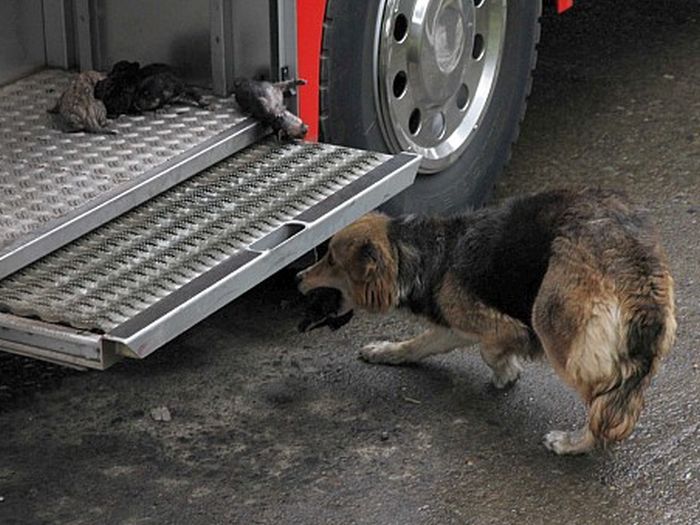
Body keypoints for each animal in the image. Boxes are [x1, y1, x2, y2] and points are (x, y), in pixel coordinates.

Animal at [296, 188, 680, 454]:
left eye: (331, 260)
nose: (298, 276)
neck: (422, 252)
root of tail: (635, 266)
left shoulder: (501, 326)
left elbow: (490, 352)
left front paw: (505, 373)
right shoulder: (453, 324)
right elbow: (415, 345)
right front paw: (384, 351)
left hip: (551, 320)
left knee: (605, 403)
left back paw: (573, 443)